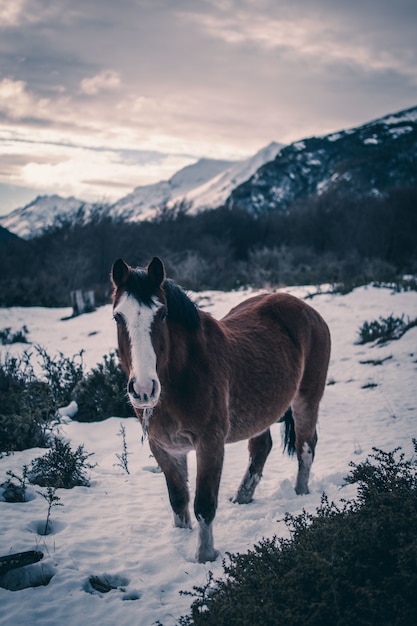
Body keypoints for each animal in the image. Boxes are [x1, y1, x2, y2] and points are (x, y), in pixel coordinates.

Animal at [111, 255, 332, 560]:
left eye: (162, 314)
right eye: (117, 316)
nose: (144, 389)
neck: (181, 378)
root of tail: (307, 310)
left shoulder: (210, 443)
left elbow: (204, 505)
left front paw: (205, 556)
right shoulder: (165, 448)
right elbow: (178, 501)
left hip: (306, 400)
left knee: (305, 447)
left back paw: (300, 494)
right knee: (261, 448)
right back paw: (242, 497)